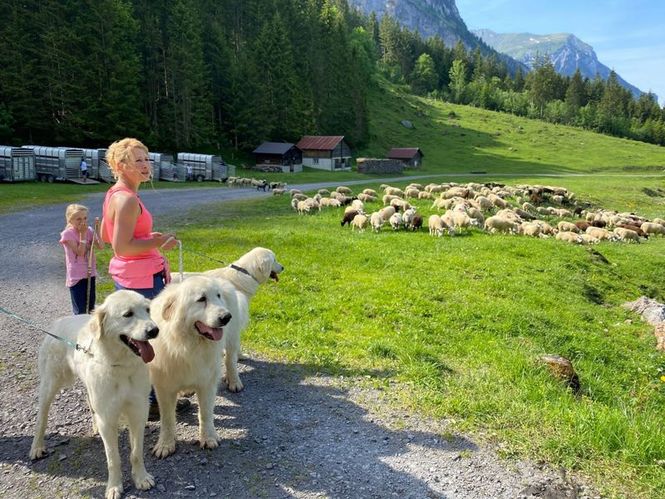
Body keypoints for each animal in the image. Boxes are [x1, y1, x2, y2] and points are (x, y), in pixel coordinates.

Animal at [29, 292, 158, 498]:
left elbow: (136, 453)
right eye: (128, 314)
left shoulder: (138, 411)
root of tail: (59, 321)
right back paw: (37, 447)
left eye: (147, 310)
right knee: (42, 417)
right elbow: (113, 459)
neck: (121, 366)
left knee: (89, 403)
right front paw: (114, 486)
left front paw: (141, 478)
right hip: (49, 386)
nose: (155, 330)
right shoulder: (108, 417)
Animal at [148, 276, 239, 458]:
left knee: (230, 359)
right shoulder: (164, 387)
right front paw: (165, 444)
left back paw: (234, 381)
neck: (186, 346)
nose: (226, 317)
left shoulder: (207, 382)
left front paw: (208, 438)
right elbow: (167, 419)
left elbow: (205, 413)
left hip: (231, 338)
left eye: (218, 296)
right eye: (201, 299)